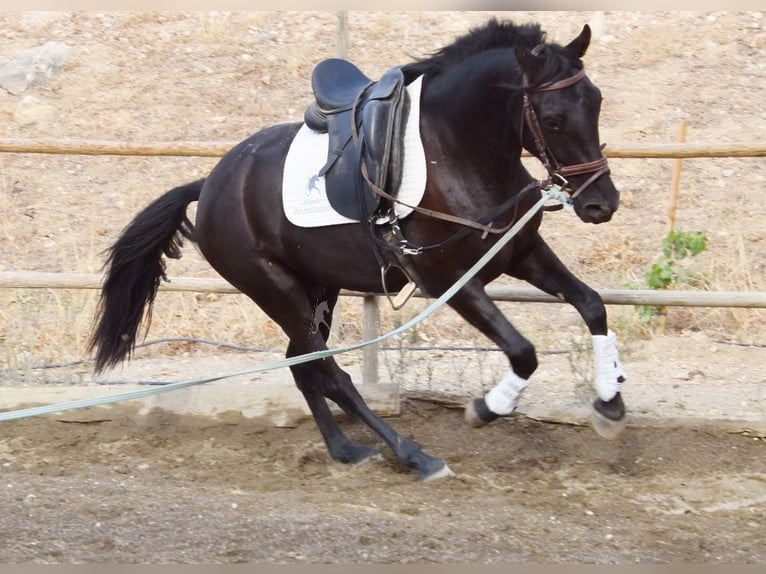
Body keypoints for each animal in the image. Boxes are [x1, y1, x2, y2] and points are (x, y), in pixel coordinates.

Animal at [90, 19, 632, 482]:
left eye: (597, 102)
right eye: (553, 118)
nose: (601, 204)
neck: (455, 152)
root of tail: (211, 184)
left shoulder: (521, 253)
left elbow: (591, 305)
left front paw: (609, 402)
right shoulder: (448, 281)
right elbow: (523, 351)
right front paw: (487, 408)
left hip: (316, 290)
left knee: (304, 365)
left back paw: (344, 450)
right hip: (276, 290)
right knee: (330, 373)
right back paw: (413, 455)